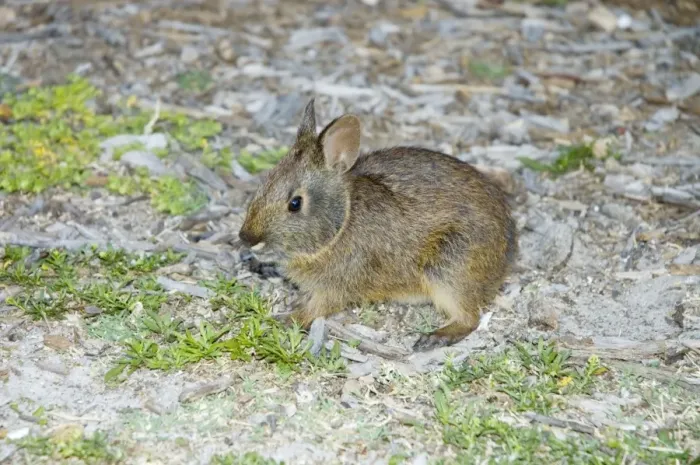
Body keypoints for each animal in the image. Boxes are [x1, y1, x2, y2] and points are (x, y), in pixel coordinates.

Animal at [238, 99, 518, 351]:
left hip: (450, 270)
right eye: (265, 182)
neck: (341, 224)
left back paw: (434, 338)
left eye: (295, 203)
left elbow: (317, 308)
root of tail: (507, 254)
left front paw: (287, 318)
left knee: (469, 318)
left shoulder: (339, 284)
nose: (247, 238)